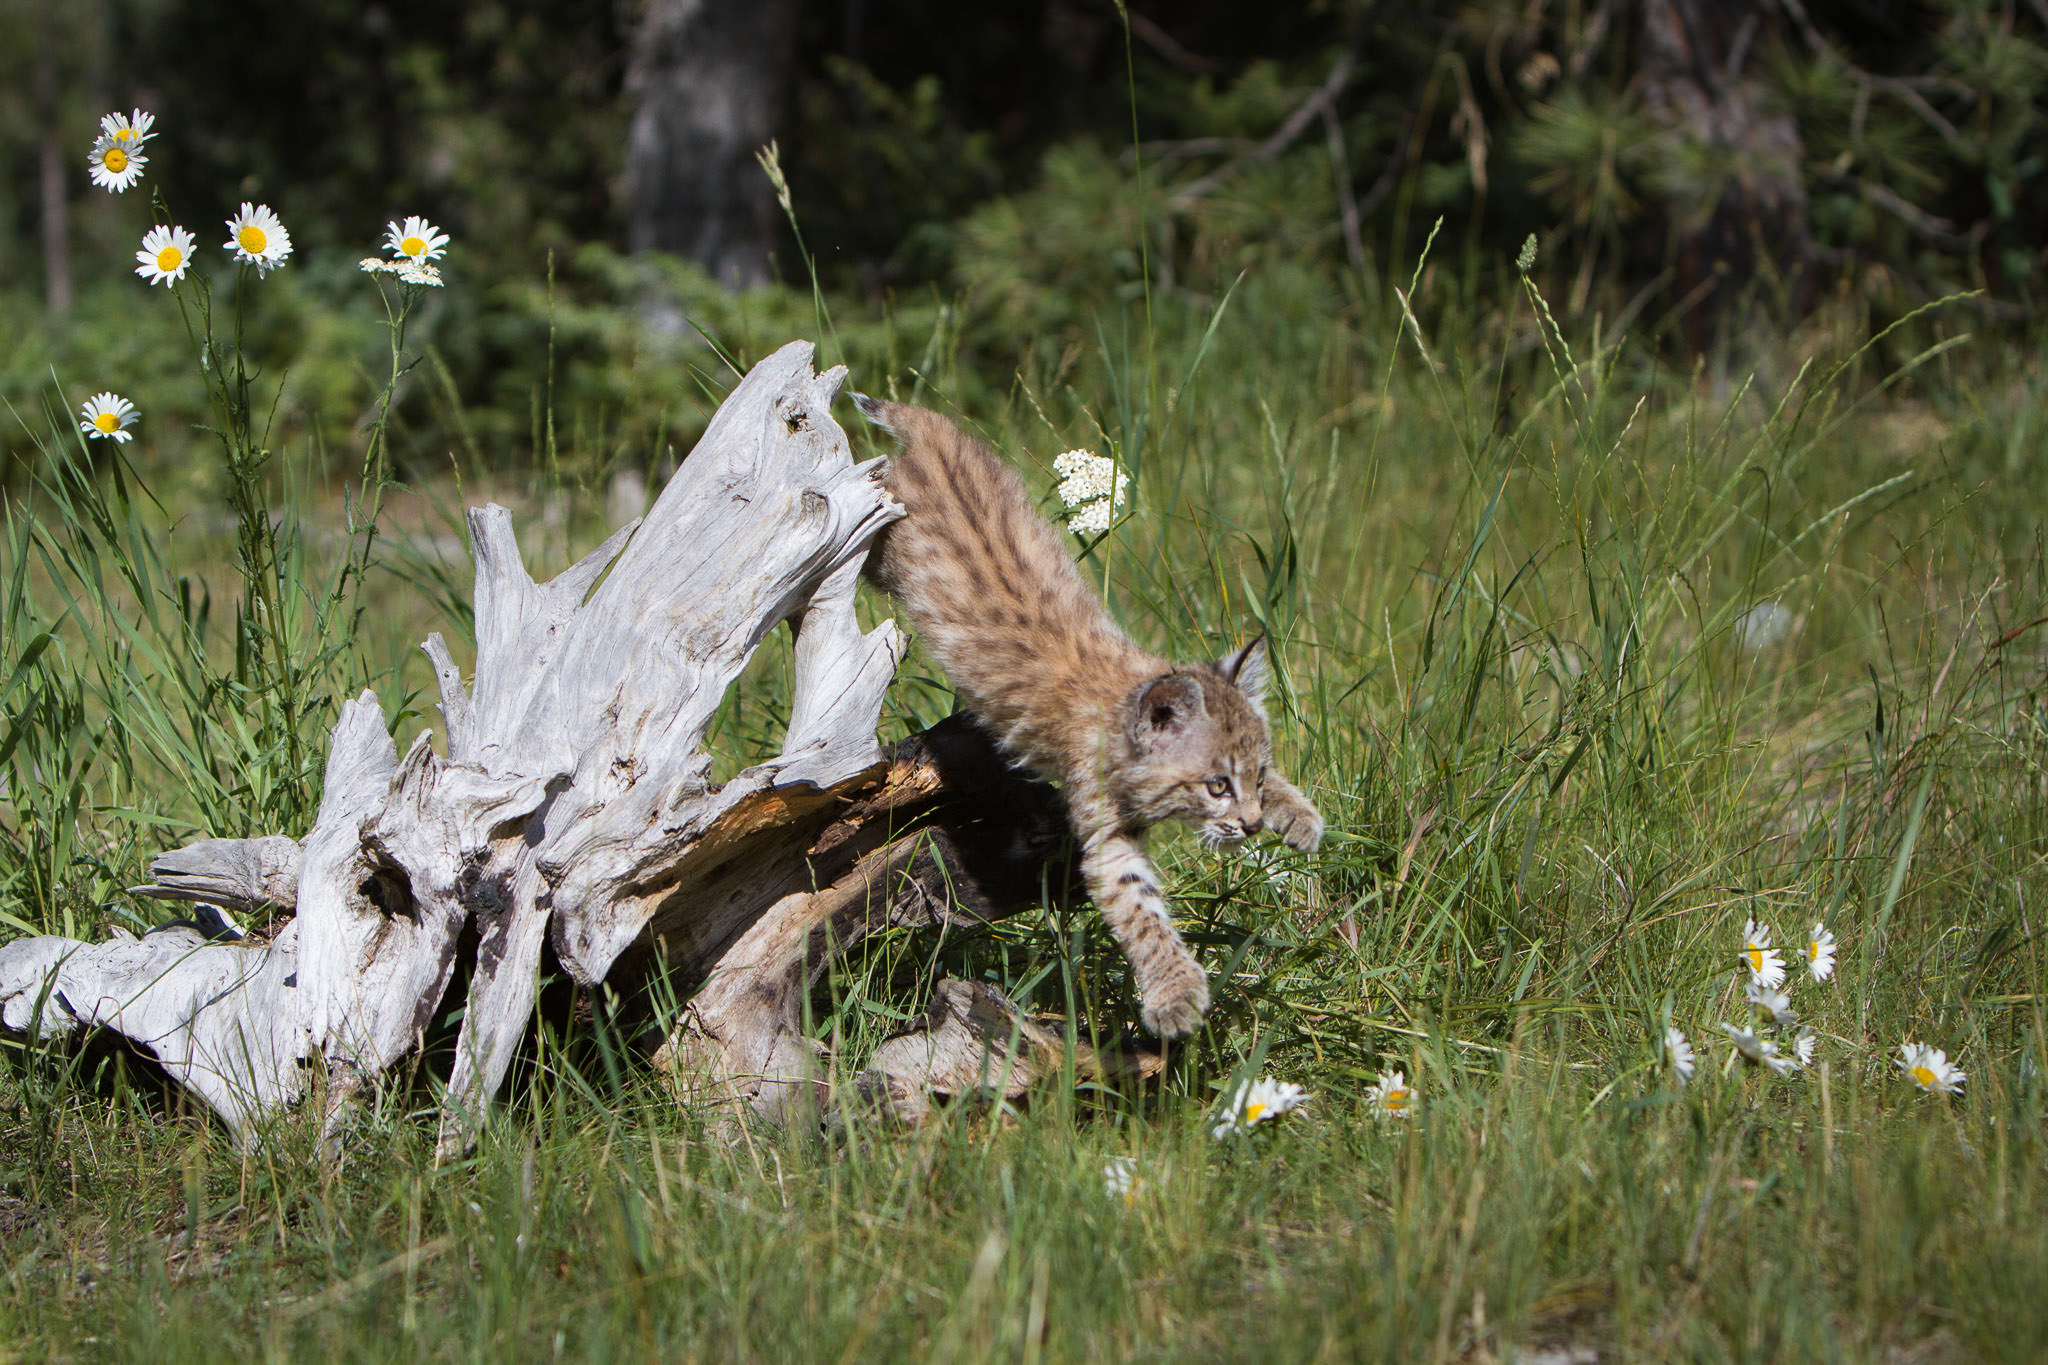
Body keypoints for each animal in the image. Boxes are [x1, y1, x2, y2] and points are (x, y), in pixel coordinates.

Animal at [851, 401, 1318, 1039]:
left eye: (1259, 776)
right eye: (1216, 786)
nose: (1249, 827)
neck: (1127, 701)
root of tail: (936, 436)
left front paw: (1299, 816)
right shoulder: (1106, 838)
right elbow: (1142, 914)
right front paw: (1175, 994)